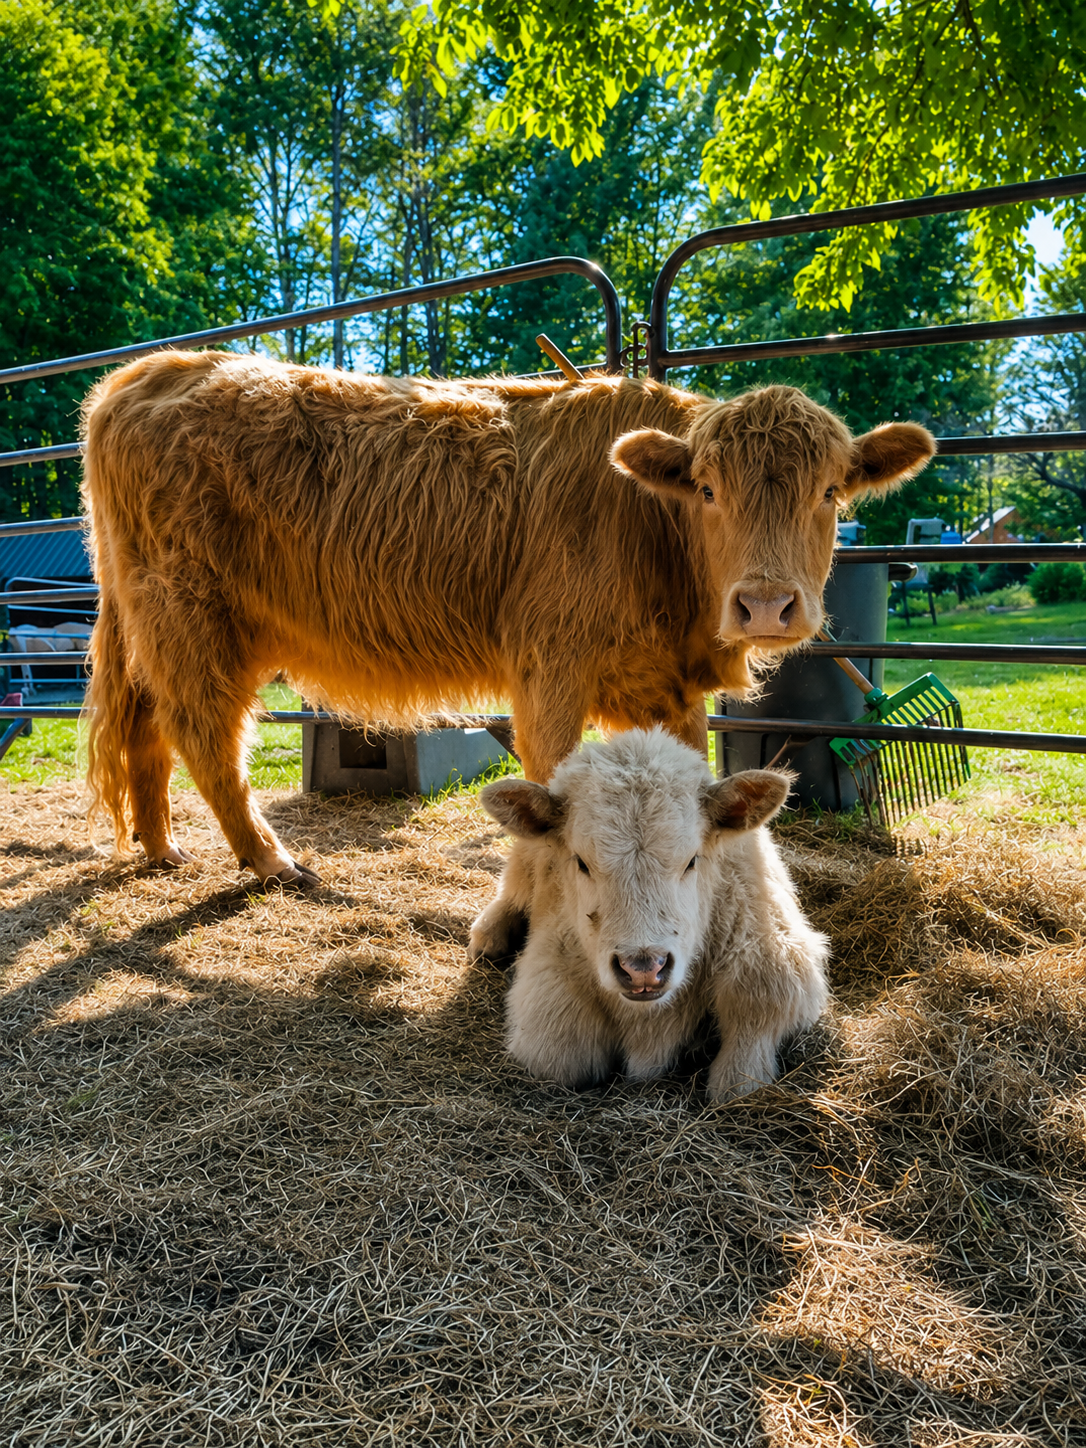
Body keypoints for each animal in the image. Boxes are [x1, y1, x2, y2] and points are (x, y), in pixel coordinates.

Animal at [80, 351, 933, 884]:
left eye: (830, 490)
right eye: (709, 489)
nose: (765, 604)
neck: (645, 524)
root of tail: (152, 370)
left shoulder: (664, 685)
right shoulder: (550, 665)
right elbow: (551, 779)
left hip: (158, 625)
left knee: (147, 730)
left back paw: (162, 848)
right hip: (193, 618)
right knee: (205, 735)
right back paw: (271, 861)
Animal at [471, 728, 830, 1102]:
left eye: (691, 860)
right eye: (582, 862)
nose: (643, 969)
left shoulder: (773, 952)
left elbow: (742, 1066)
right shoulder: (549, 986)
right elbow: (563, 1057)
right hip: (525, 859)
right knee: (512, 892)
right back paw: (489, 936)